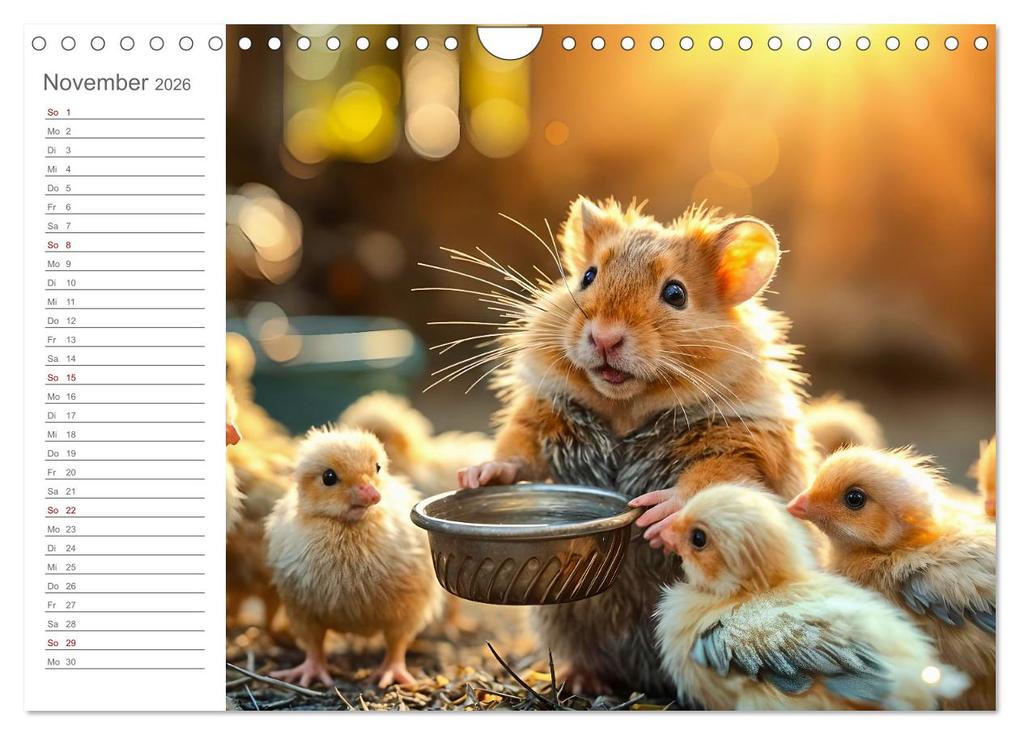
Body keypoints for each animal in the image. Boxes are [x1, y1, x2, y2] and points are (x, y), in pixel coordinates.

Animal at [449, 197, 818, 695]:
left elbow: (714, 476)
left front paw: (658, 516)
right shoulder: (541, 419)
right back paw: (582, 682)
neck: (627, 407)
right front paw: (478, 476)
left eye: (676, 293)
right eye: (588, 276)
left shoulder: (746, 442)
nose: (604, 337)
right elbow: (516, 450)